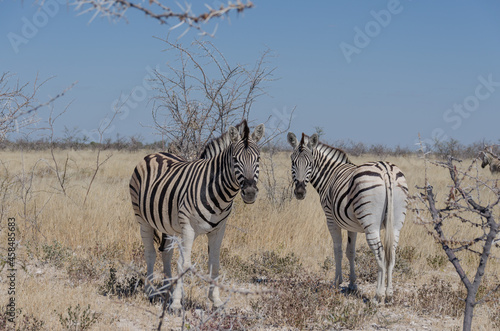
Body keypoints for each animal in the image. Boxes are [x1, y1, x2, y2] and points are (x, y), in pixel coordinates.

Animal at [131, 120, 266, 310]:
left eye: (258, 159)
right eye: (234, 159)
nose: (250, 193)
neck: (217, 193)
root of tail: (156, 153)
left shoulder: (219, 230)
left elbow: (215, 264)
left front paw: (215, 300)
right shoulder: (188, 228)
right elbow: (184, 264)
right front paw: (176, 304)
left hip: (167, 224)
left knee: (166, 254)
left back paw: (166, 289)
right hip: (143, 220)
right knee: (150, 253)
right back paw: (150, 292)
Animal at [288, 132, 408, 304]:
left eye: (310, 163)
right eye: (293, 161)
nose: (299, 192)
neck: (330, 175)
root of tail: (386, 169)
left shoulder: (331, 219)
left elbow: (337, 250)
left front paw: (337, 282)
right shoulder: (353, 225)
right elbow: (350, 252)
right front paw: (352, 284)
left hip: (370, 224)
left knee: (380, 253)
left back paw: (378, 295)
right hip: (396, 224)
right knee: (391, 253)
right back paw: (389, 294)